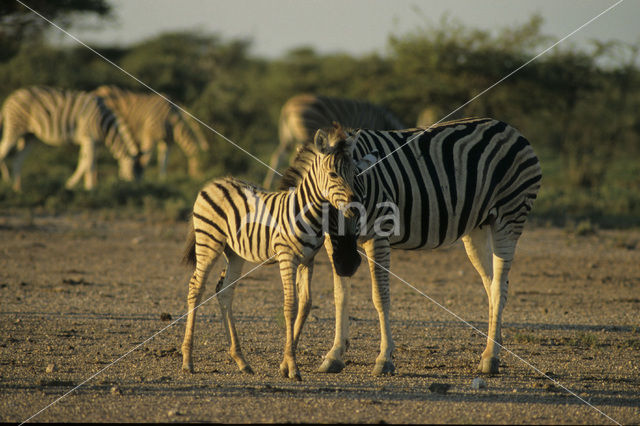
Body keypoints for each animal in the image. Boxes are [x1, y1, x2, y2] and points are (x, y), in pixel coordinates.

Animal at [0, 85, 140, 191]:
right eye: (134, 169)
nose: (134, 185)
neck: (104, 124)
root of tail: (10, 98)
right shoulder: (89, 137)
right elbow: (88, 164)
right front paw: (90, 188)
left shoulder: (92, 142)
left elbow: (84, 162)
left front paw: (75, 185)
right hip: (15, 128)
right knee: (3, 151)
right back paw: (7, 180)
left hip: (29, 136)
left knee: (18, 159)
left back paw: (17, 188)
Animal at [182, 125, 368, 382]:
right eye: (333, 175)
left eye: (355, 174)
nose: (354, 207)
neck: (307, 211)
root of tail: (215, 182)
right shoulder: (286, 257)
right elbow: (290, 305)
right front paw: (292, 367)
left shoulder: (308, 260)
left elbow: (306, 304)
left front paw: (286, 363)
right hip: (208, 241)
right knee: (196, 288)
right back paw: (188, 360)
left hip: (235, 253)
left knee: (225, 292)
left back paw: (242, 361)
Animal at [262, 95, 404, 191]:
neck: (383, 119)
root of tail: (287, 108)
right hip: (307, 130)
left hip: (288, 138)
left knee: (278, 156)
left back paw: (268, 185)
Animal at [280, 118, 540, 374]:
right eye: (332, 177)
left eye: (359, 176)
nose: (349, 263)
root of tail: (509, 128)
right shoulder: (333, 246)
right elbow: (340, 296)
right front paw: (334, 355)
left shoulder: (378, 236)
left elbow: (380, 296)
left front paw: (384, 358)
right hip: (478, 226)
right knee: (493, 284)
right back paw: (494, 346)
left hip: (510, 216)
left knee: (499, 286)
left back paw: (490, 358)